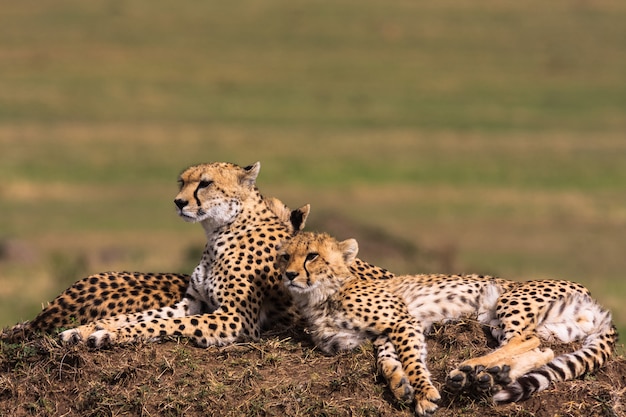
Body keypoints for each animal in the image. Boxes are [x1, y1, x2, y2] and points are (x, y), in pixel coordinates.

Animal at [278, 231, 616, 416]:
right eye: (284, 257)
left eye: (311, 256)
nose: (289, 275)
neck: (320, 295)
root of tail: (593, 298)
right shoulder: (382, 334)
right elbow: (387, 361)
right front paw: (400, 385)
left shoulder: (403, 319)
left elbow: (412, 359)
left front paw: (424, 394)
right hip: (507, 322)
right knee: (542, 349)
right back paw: (494, 374)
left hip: (507, 300)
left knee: (527, 340)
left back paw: (472, 369)